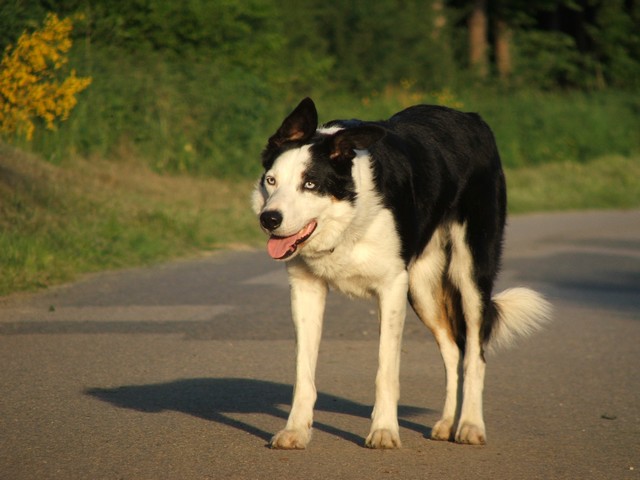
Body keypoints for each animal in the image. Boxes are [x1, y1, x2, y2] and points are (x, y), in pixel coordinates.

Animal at [250, 98, 552, 450]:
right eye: (271, 181)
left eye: (310, 184)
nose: (269, 219)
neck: (350, 217)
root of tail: (470, 118)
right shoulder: (306, 288)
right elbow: (303, 372)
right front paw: (296, 430)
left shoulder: (391, 287)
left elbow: (386, 369)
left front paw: (383, 431)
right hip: (421, 288)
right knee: (452, 350)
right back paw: (446, 424)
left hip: (470, 273)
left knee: (474, 354)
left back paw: (470, 425)